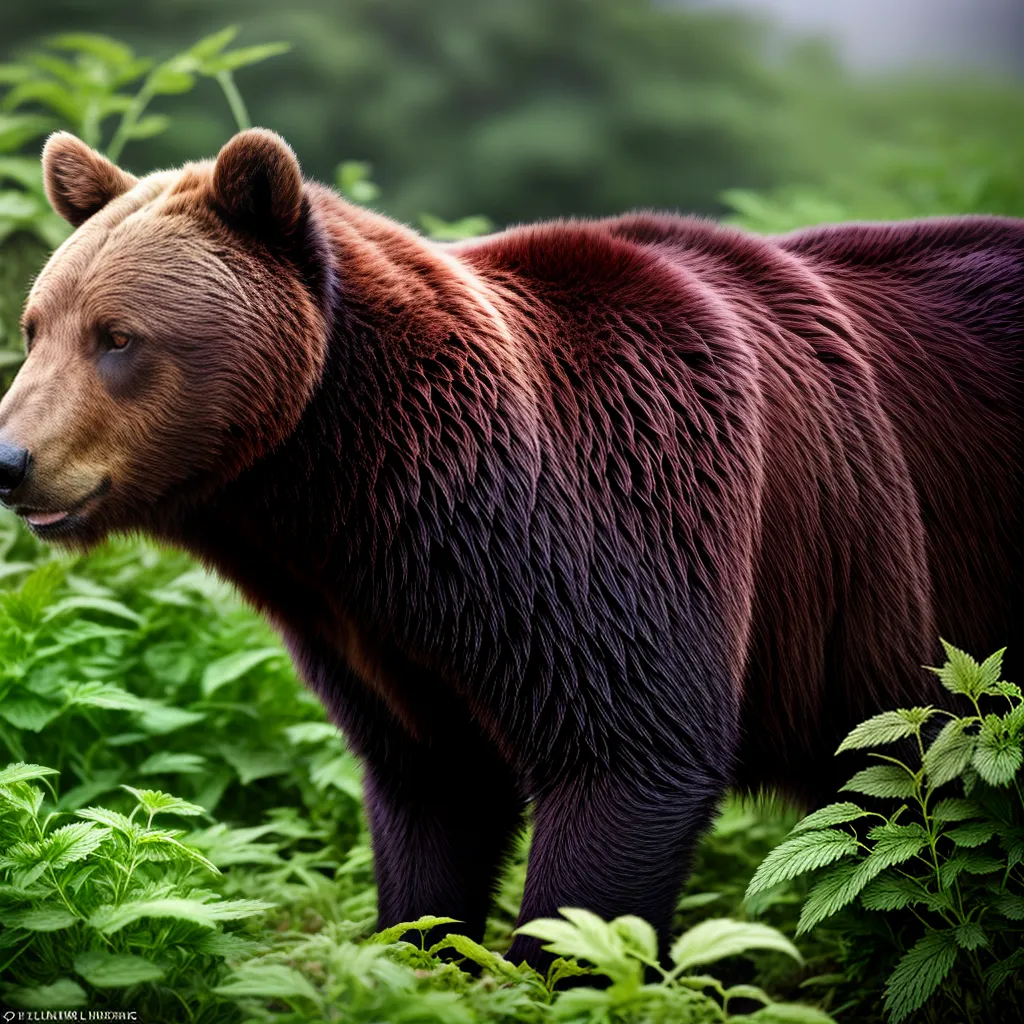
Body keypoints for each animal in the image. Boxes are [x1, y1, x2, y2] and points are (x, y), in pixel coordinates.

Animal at [0, 129, 1021, 967]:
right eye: (35, 326)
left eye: (118, 337)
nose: (10, 458)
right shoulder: (387, 643)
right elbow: (427, 813)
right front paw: (420, 951)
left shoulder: (625, 527)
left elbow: (627, 765)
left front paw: (556, 963)